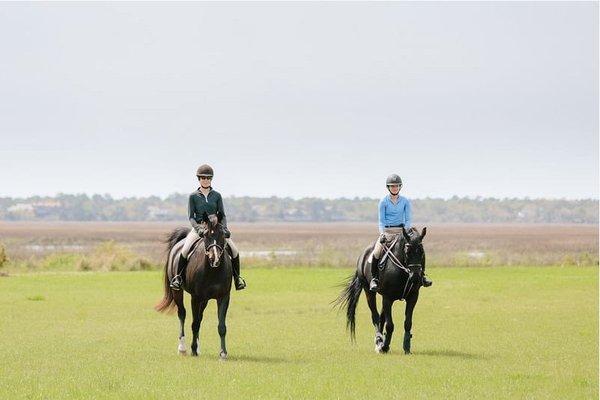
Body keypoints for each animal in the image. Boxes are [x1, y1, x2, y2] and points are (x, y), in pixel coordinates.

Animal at [156, 212, 233, 360]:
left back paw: (197, 347)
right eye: (206, 235)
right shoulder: (195, 297)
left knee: (200, 317)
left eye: (222, 234)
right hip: (178, 292)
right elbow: (194, 323)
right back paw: (182, 348)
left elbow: (221, 326)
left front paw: (223, 353)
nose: (214, 258)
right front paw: (192, 350)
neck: (213, 270)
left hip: (205, 299)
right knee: (182, 314)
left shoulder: (223, 297)